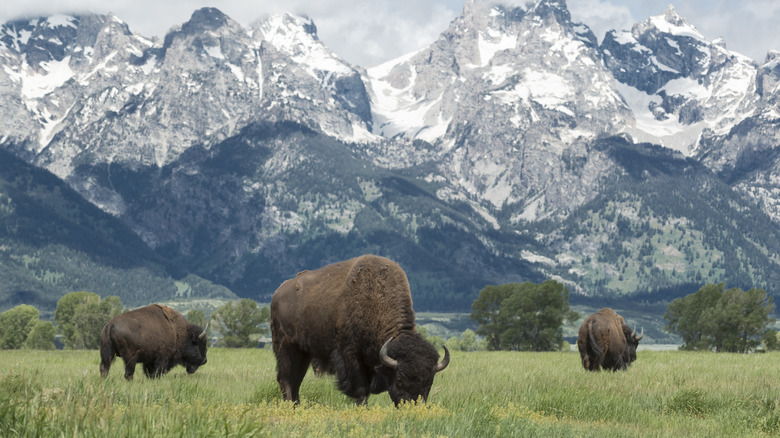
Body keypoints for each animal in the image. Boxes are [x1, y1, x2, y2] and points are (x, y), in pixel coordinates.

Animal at [270, 255, 448, 406]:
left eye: (429, 382)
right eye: (399, 378)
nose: (412, 405)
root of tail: (278, 293)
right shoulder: (351, 355)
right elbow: (361, 389)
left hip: (304, 353)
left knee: (296, 380)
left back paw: (296, 405)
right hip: (286, 348)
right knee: (286, 378)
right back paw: (289, 405)